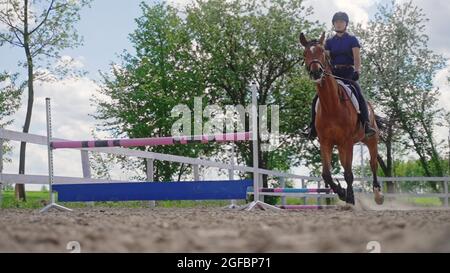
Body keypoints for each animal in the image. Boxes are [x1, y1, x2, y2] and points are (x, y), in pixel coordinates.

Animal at [298, 32, 384, 204]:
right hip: (340, 146)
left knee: (372, 164)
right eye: (305, 54)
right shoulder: (326, 142)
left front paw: (349, 197)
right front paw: (342, 192)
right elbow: (327, 174)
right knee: (346, 166)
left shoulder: (347, 142)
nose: (316, 72)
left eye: (322, 52)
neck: (332, 106)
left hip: (370, 140)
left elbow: (349, 174)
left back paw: (378, 194)